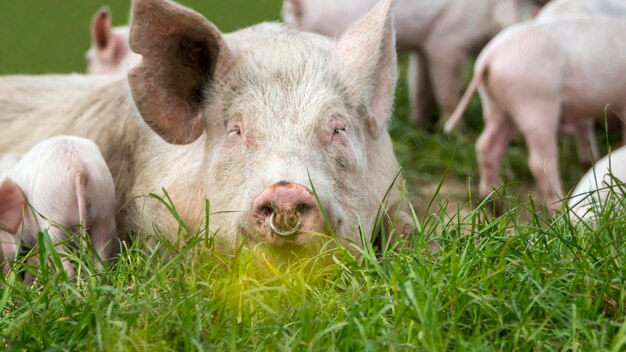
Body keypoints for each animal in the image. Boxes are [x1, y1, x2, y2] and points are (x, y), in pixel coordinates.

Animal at [280, 0, 544, 126]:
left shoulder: (424, 47)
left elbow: (421, 87)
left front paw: (421, 124)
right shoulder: (446, 42)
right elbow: (446, 92)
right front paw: (453, 131)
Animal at [442, 17, 624, 212]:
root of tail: (489, 57)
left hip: (497, 106)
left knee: (486, 145)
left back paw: (494, 204)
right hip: (535, 102)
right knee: (541, 162)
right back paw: (558, 209)